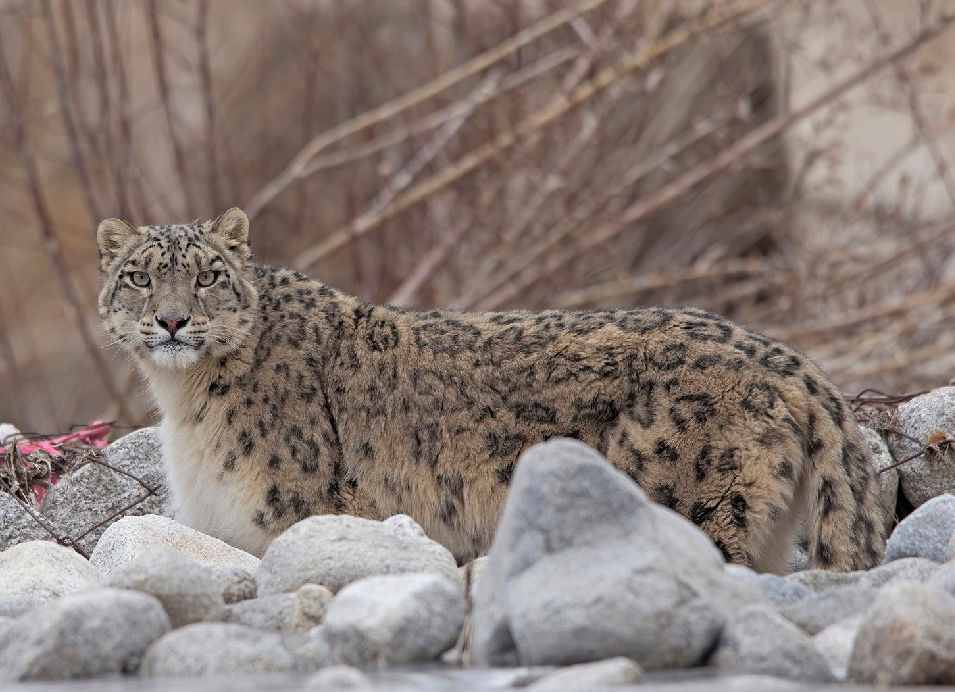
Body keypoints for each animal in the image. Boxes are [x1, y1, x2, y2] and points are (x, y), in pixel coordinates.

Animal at [97, 207, 886, 573]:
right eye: (137, 275)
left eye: (207, 275)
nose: (172, 319)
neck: (185, 403)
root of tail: (787, 357)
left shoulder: (299, 515)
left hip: (692, 502)